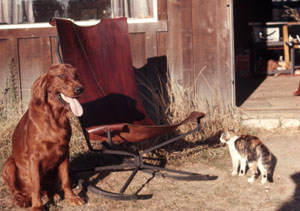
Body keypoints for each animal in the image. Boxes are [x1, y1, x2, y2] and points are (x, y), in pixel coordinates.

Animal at [2, 63, 84, 210]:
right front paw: (37, 206)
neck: (54, 117)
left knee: (47, 187)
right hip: (9, 164)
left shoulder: (64, 151)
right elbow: (36, 184)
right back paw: (22, 200)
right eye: (61, 75)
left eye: (76, 75)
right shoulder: (34, 156)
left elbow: (66, 179)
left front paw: (72, 198)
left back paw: (53, 194)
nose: (80, 89)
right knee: (18, 191)